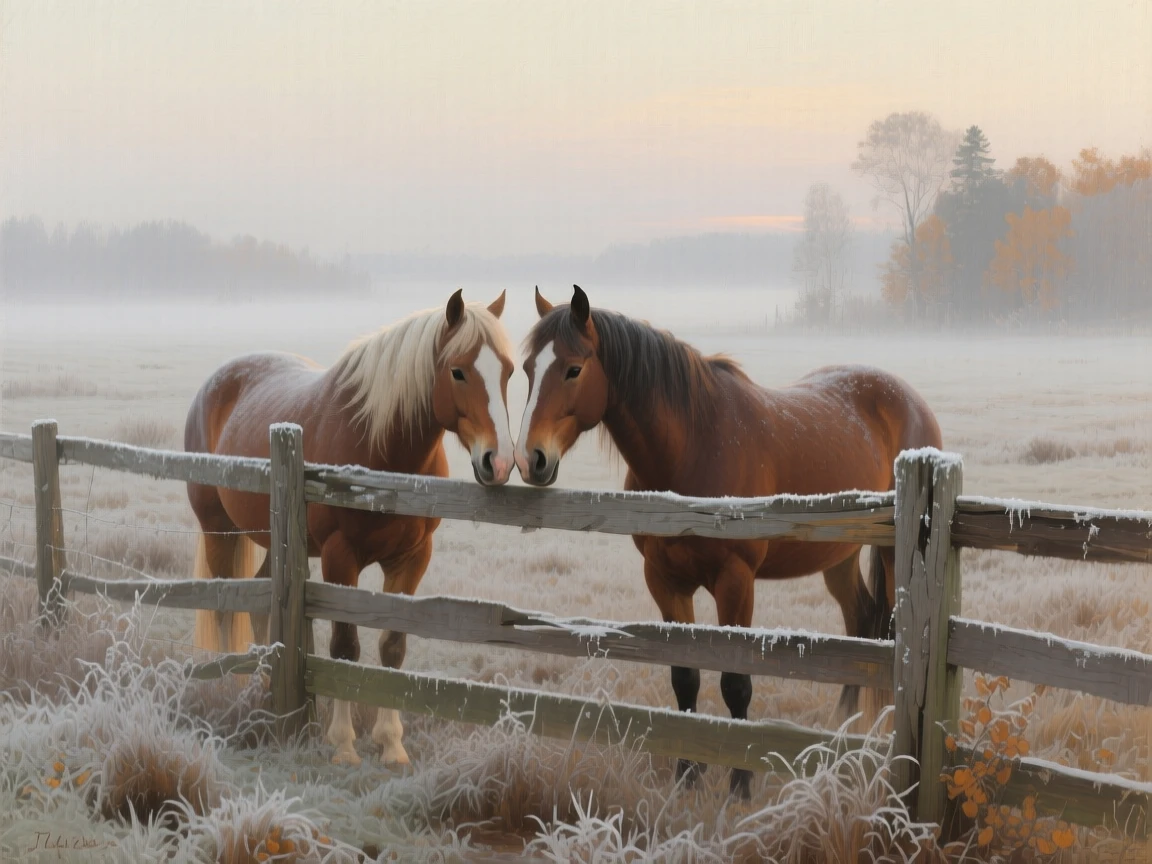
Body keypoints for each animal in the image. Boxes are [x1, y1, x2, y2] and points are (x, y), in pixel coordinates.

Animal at [184, 289, 515, 766]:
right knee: (225, 607)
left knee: (261, 607)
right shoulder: (341, 558)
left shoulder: (412, 559)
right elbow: (345, 649)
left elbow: (392, 646)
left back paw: (266, 691)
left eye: (508, 370)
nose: (500, 462)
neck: (380, 451)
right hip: (217, 530)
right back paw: (232, 688)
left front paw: (392, 743)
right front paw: (343, 744)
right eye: (458, 371)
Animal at [514, 285, 942, 799]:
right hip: (837, 557)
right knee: (859, 619)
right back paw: (845, 724)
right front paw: (687, 774)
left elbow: (736, 682)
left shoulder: (736, 582)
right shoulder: (665, 581)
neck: (693, 447)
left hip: (895, 557)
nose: (530, 459)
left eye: (574, 368)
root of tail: (910, 399)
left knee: (890, 633)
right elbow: (685, 677)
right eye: (526, 368)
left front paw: (740, 782)